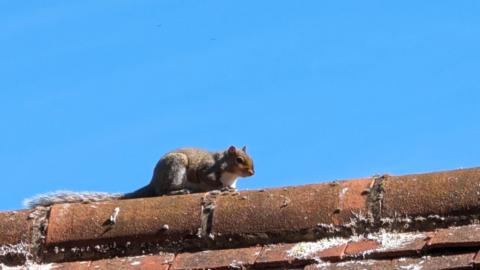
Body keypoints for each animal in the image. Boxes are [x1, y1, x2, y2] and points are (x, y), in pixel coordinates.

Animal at [22, 147, 255, 208]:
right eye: (239, 160)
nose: (253, 173)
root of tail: (152, 181)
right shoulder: (207, 171)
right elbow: (209, 180)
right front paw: (222, 188)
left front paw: (232, 189)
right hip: (176, 168)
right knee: (162, 192)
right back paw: (179, 190)